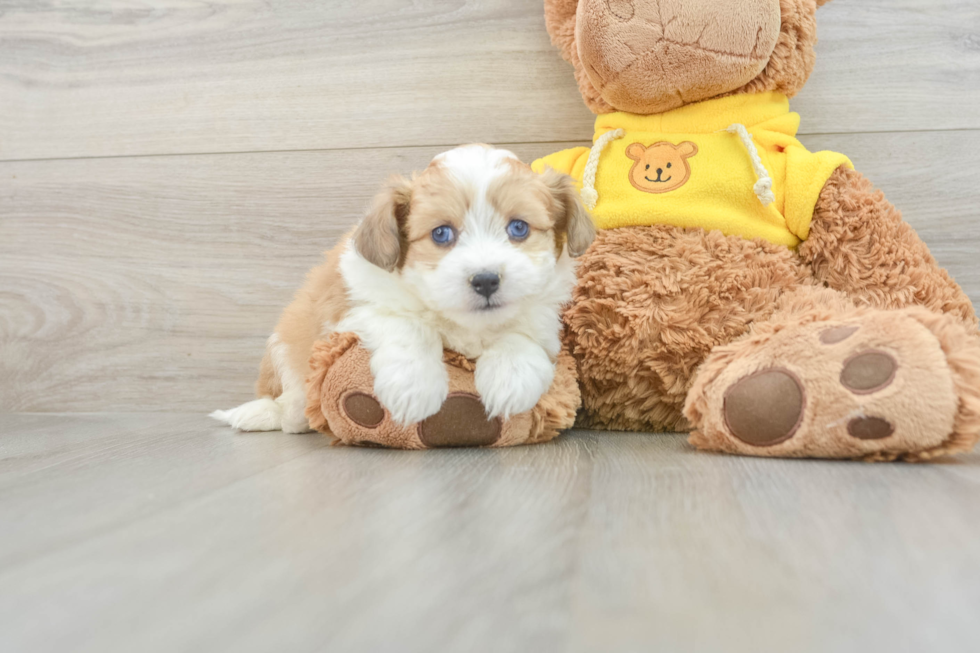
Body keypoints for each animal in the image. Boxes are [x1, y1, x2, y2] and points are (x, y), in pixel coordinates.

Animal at [213, 146, 592, 432]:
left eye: (518, 228)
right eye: (441, 233)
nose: (485, 280)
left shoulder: (542, 315)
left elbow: (520, 333)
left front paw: (510, 380)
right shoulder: (351, 309)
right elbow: (407, 325)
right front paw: (414, 389)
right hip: (284, 345)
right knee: (286, 399)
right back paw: (277, 413)